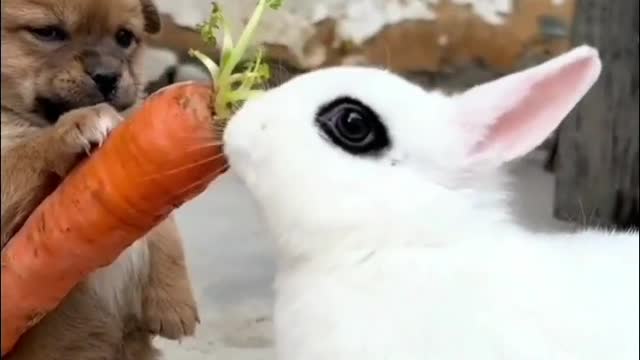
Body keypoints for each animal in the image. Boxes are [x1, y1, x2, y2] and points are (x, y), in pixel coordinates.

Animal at [0, 0, 200, 360]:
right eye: (47, 32)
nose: (108, 77)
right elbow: (30, 151)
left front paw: (174, 301)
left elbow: (165, 227)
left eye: (124, 37)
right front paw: (77, 124)